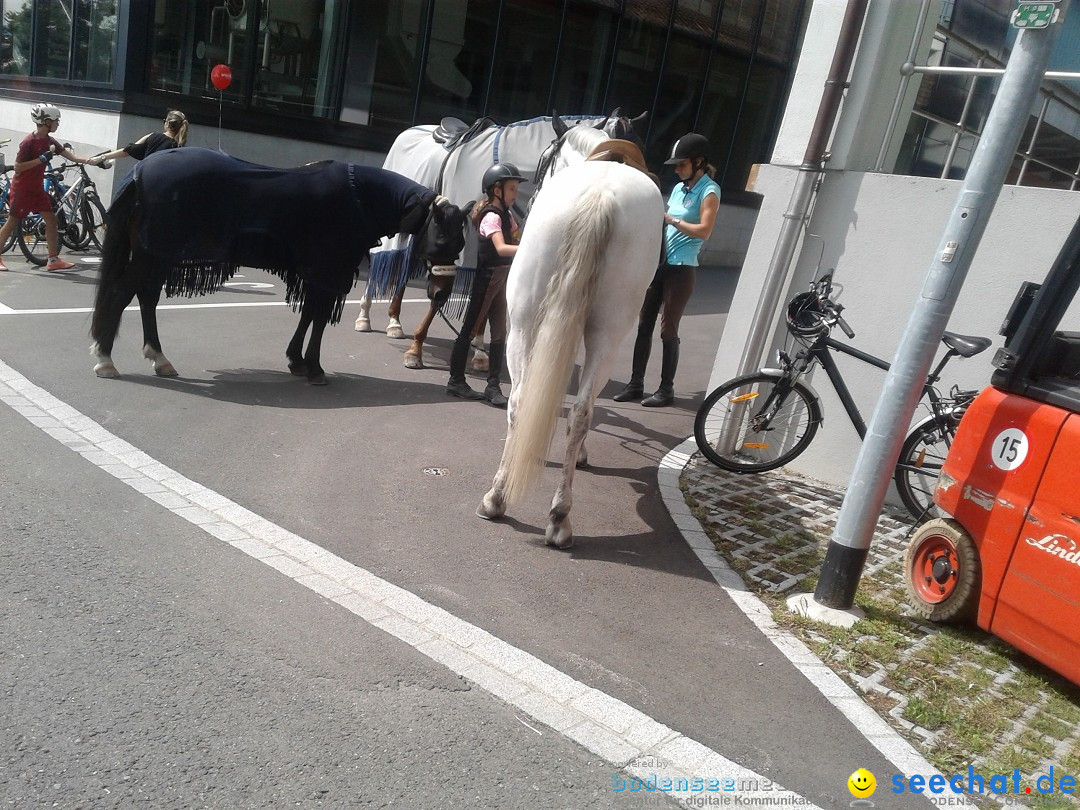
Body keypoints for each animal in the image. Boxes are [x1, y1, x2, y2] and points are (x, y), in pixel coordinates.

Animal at [89, 150, 468, 386]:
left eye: (461, 244)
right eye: (441, 241)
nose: (441, 294)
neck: (357, 196)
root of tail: (140, 172)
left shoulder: (316, 273)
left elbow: (308, 314)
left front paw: (296, 361)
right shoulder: (328, 272)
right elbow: (318, 318)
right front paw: (314, 368)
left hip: (157, 254)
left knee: (146, 297)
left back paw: (158, 358)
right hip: (152, 255)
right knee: (123, 293)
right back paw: (106, 360)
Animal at [354, 110, 643, 371]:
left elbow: (487, 297)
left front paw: (480, 351)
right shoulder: (454, 243)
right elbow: (444, 295)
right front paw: (416, 350)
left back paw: (394, 321)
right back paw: (366, 316)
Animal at [475, 135, 660, 552]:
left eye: (544, 160)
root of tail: (600, 195)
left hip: (527, 324)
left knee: (528, 403)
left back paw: (505, 499)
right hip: (598, 332)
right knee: (574, 410)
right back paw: (549, 513)